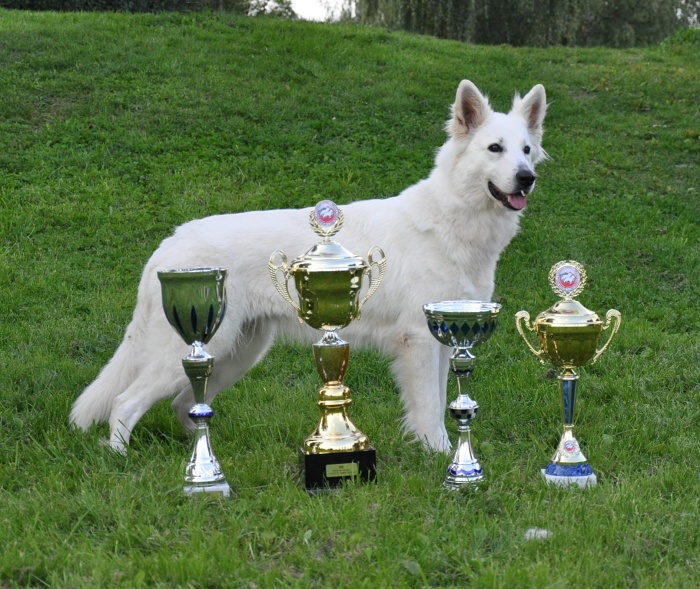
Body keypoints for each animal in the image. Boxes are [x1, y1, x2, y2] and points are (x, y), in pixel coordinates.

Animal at [74, 80, 548, 452]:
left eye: (526, 151)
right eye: (495, 149)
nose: (527, 178)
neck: (451, 222)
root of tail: (169, 244)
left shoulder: (447, 337)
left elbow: (439, 400)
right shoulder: (419, 340)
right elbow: (429, 407)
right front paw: (441, 455)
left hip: (237, 351)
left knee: (182, 404)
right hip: (195, 348)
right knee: (126, 402)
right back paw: (120, 458)